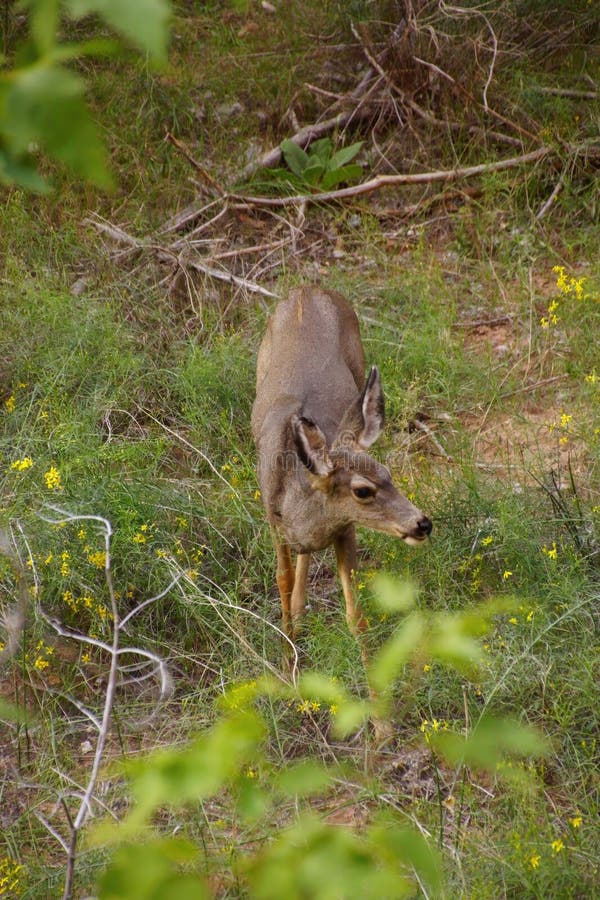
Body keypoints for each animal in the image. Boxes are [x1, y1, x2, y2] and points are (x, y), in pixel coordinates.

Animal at [251, 285, 432, 646]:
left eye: (388, 474)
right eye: (362, 490)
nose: (422, 523)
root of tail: (306, 289)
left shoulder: (346, 528)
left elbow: (355, 616)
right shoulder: (272, 520)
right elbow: (281, 578)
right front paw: (289, 652)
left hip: (359, 364)